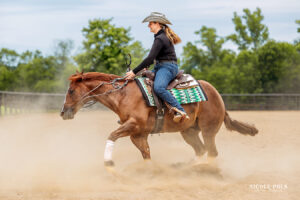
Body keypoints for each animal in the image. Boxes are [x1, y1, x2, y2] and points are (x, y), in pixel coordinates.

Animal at [60, 72, 258, 166]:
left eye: (71, 90)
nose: (63, 112)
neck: (123, 95)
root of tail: (217, 95)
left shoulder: (133, 126)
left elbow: (111, 135)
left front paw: (109, 163)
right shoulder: (138, 135)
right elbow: (146, 154)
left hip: (208, 131)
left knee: (212, 152)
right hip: (189, 132)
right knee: (201, 150)